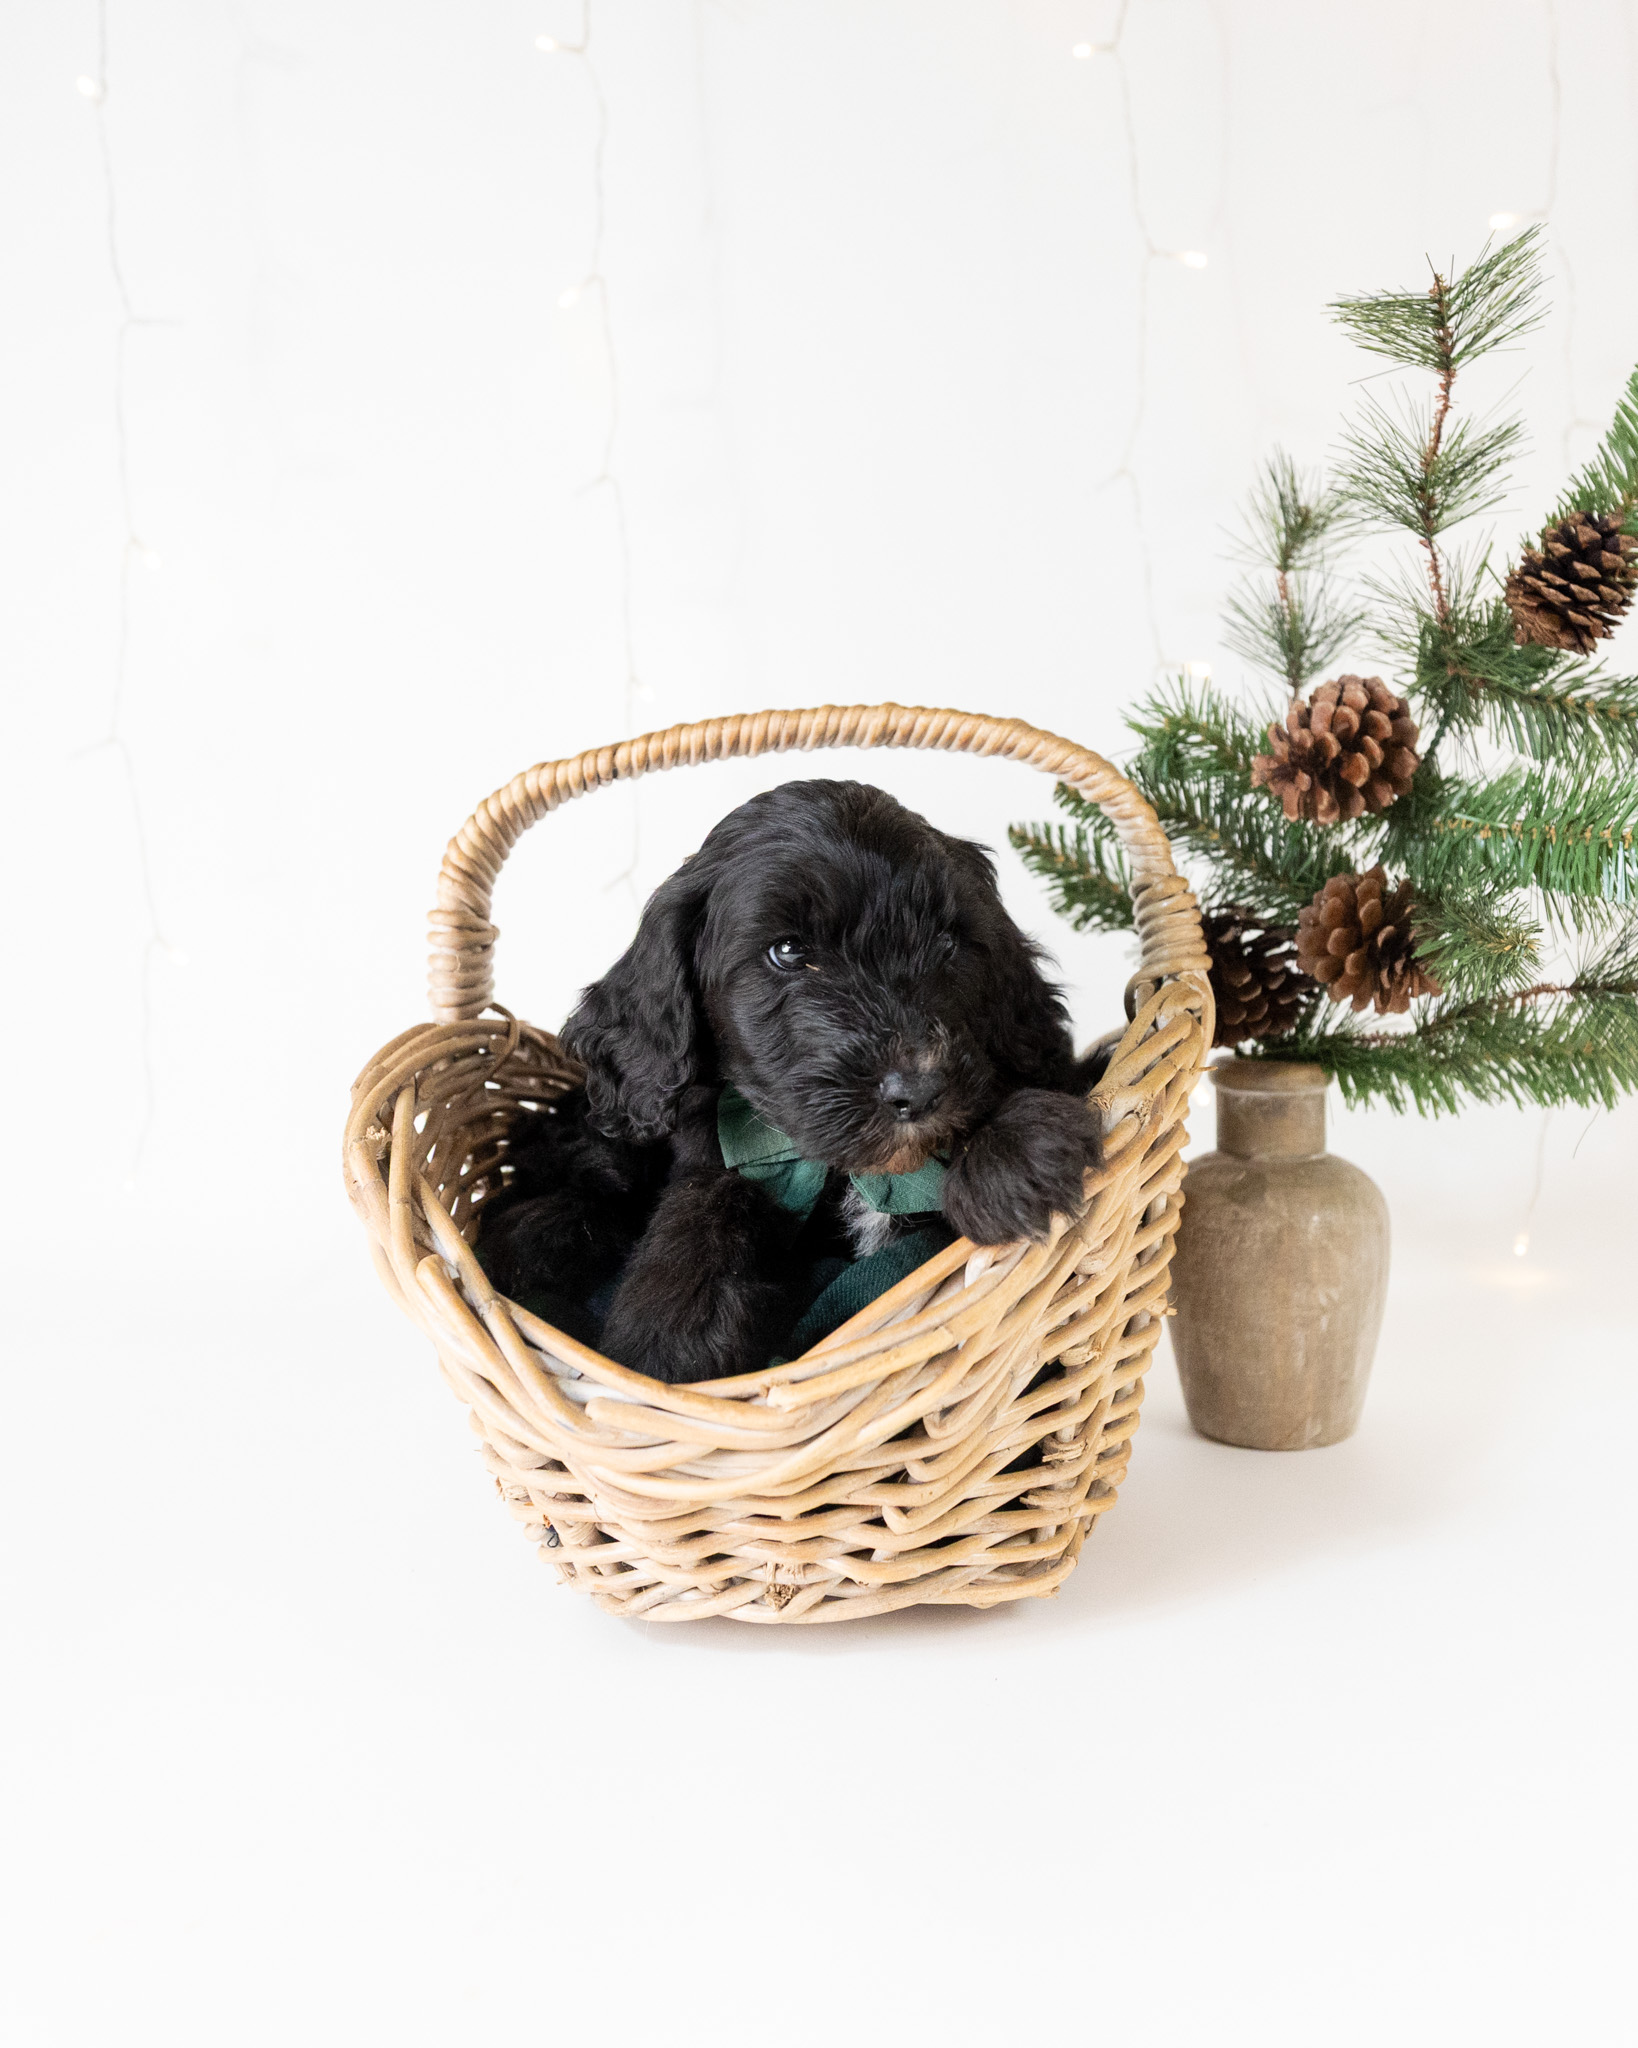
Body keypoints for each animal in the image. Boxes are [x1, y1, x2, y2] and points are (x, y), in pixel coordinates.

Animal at [478, 778, 1108, 1383]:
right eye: (787, 951)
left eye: (949, 945)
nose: (920, 1090)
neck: (851, 1175)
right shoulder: (717, 1144)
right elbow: (711, 1194)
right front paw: (671, 1333)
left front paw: (1012, 1157)